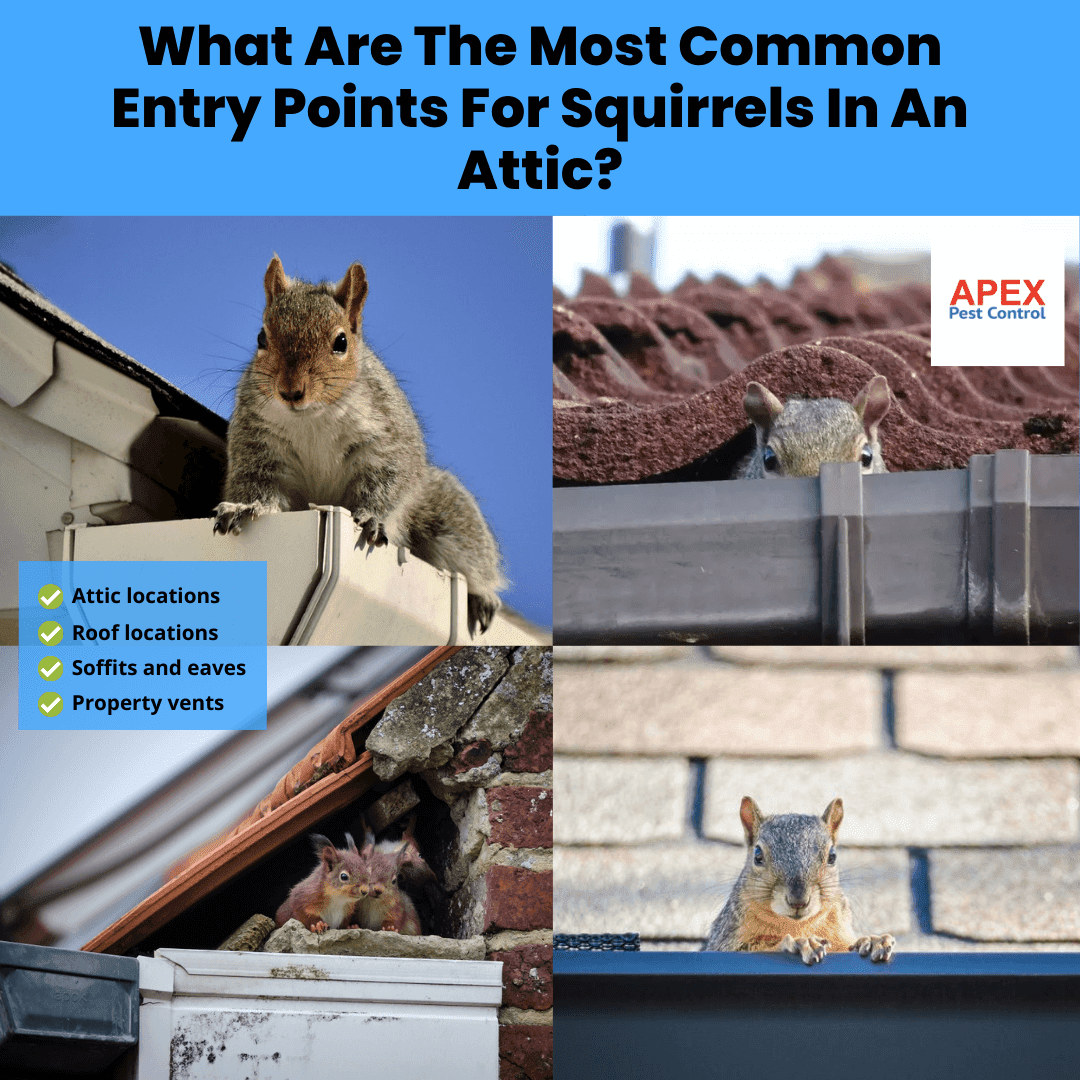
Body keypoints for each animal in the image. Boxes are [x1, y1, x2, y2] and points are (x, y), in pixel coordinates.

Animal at [212, 255, 506, 636]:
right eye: (261, 337)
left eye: (341, 342)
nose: (290, 391)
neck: (313, 417)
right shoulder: (258, 444)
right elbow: (259, 485)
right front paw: (243, 507)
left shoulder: (387, 440)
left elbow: (391, 482)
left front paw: (372, 518)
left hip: (446, 515)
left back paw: (482, 595)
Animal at [702, 796, 894, 965]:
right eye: (757, 855)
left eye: (832, 856)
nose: (798, 901)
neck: (796, 925)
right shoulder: (725, 940)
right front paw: (798, 943)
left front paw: (872, 941)